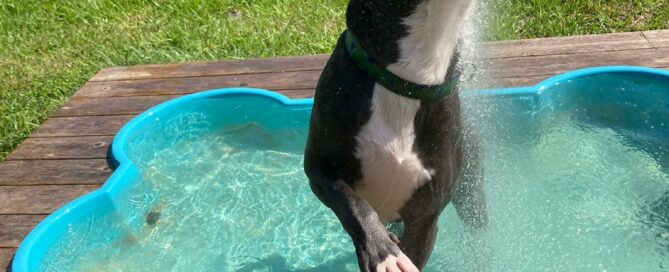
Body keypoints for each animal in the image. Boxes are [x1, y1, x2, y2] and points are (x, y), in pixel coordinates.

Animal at [306, 0, 488, 272]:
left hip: (471, 195)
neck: (409, 83)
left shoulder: (426, 217)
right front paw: (383, 252)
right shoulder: (320, 169)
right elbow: (354, 204)